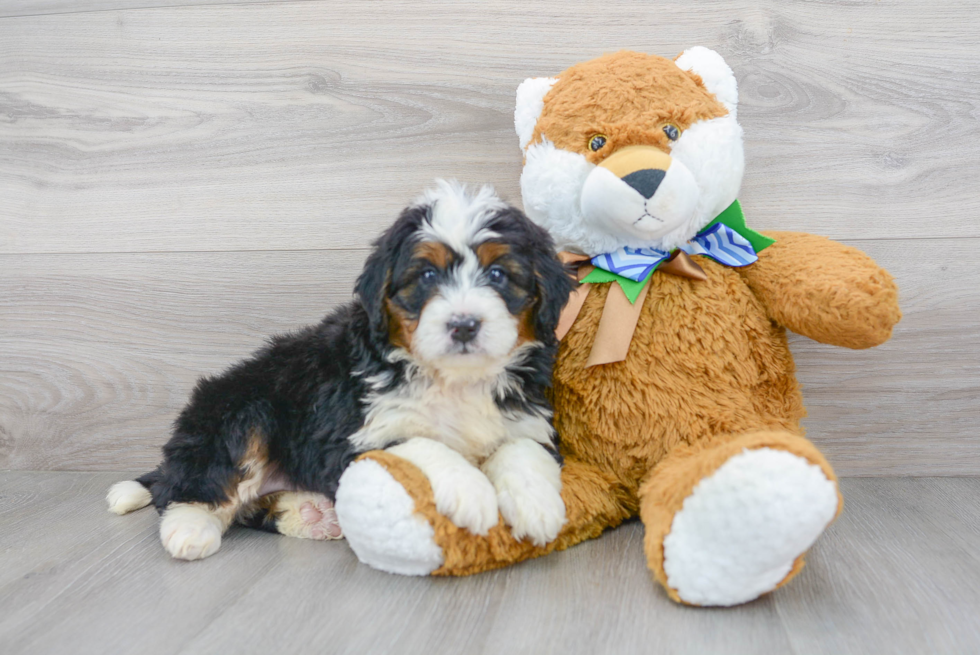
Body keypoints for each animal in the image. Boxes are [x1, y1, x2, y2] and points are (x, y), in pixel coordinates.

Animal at [109, 182, 576, 560]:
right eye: (427, 275)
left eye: (498, 274)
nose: (463, 325)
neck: (454, 378)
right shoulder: (357, 432)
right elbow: (422, 443)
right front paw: (471, 491)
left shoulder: (524, 414)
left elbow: (522, 448)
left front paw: (538, 506)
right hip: (240, 411)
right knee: (190, 488)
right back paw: (190, 529)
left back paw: (312, 514)